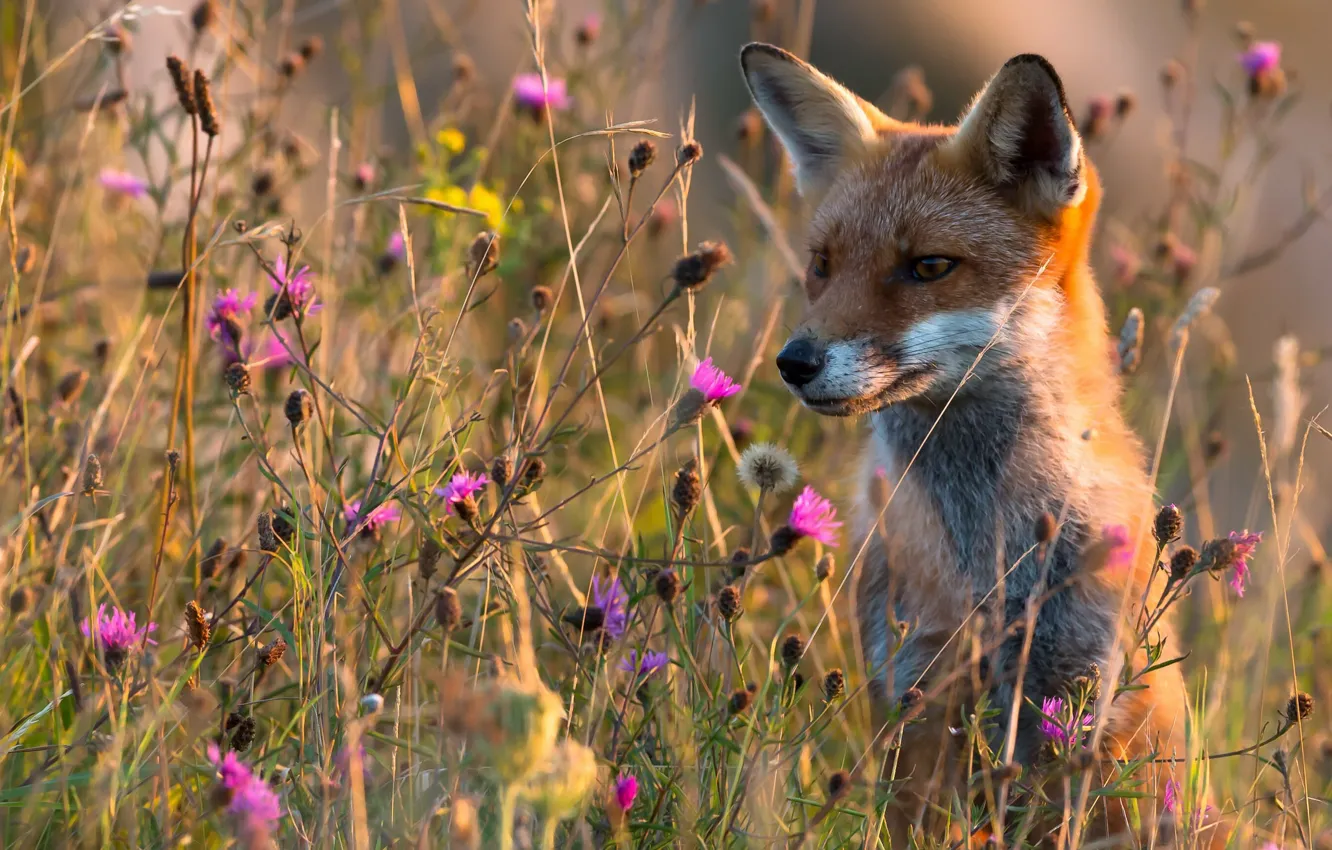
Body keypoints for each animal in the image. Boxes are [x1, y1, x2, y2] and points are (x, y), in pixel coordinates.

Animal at [739, 45, 1217, 846]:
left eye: (929, 266)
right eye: (823, 264)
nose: (794, 363)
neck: (992, 558)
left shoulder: (1077, 702)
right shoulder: (916, 689)